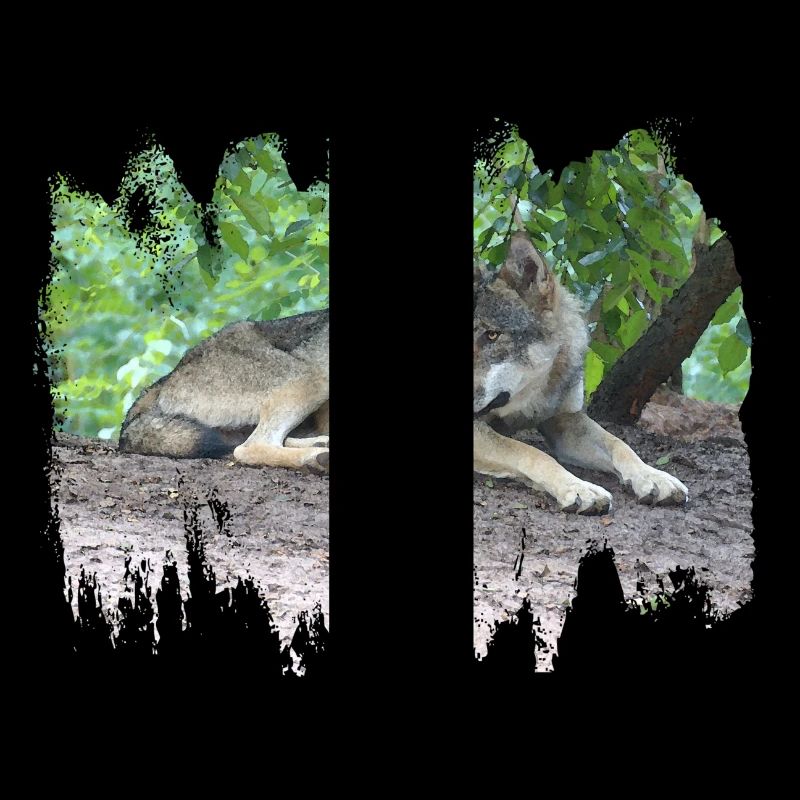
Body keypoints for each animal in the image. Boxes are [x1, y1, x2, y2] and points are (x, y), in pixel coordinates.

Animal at [474, 233, 688, 514]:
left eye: (492, 335)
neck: (535, 395)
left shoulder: (565, 420)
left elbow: (620, 444)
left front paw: (652, 476)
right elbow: (531, 452)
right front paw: (578, 488)